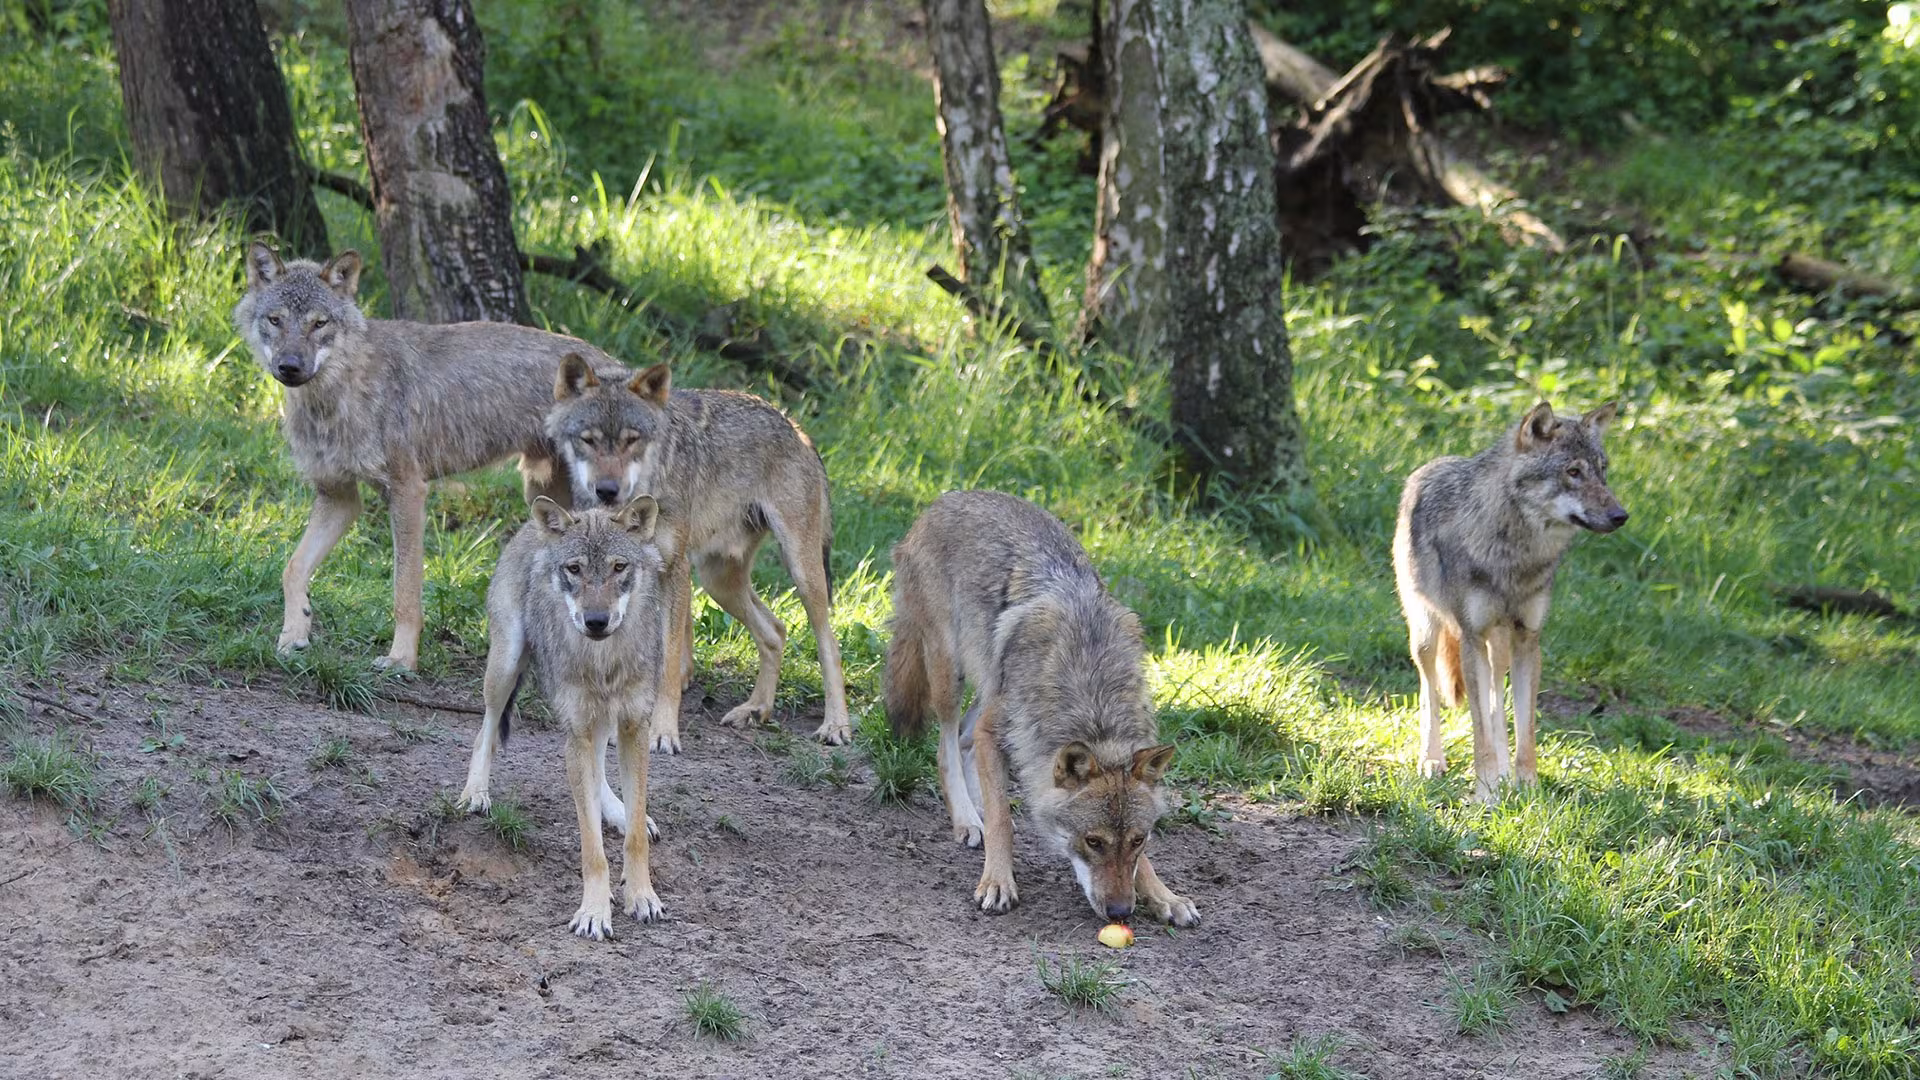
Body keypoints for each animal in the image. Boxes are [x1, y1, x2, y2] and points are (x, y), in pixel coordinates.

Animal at [232, 242, 625, 671]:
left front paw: (401, 660)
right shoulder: (339, 497)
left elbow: (404, 591)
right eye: (275, 320)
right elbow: (292, 569)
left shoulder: (407, 491)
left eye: (319, 324)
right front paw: (293, 636)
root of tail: (621, 367)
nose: (289, 366)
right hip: (547, 499)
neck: (339, 393)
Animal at [461, 494, 668, 939]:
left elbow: (634, 839)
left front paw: (641, 895)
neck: (604, 661)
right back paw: (475, 794)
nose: (596, 621)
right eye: (574, 569)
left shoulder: (634, 727)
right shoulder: (577, 731)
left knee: (601, 775)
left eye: (618, 567)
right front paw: (594, 912)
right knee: (486, 729)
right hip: (505, 666)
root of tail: (531, 526)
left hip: (601, 721)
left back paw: (619, 814)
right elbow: (592, 848)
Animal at [544, 354, 849, 752]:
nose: (606, 490)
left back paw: (836, 725)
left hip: (801, 572)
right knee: (776, 630)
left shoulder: (673, 570)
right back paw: (756, 709)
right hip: (717, 581)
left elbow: (669, 663)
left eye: (632, 440)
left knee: (829, 642)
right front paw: (611, 729)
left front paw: (663, 732)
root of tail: (797, 428)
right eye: (588, 440)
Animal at [884, 490, 1197, 926]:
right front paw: (997, 883)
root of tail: (945, 499)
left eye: (1138, 840)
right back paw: (967, 818)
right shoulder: (994, 729)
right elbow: (1004, 821)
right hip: (950, 673)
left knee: (964, 741)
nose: (1120, 912)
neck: (1092, 699)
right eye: (1093, 842)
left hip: (989, 682)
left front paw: (1165, 896)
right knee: (946, 746)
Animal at [1393, 401, 1627, 802]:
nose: (1620, 516)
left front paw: (1527, 786)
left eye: (1603, 470)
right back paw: (1432, 760)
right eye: (1573, 472)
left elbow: (1523, 727)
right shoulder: (1471, 638)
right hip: (1426, 634)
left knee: (1495, 702)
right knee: (1429, 693)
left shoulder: (1528, 640)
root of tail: (1431, 464)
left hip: (1499, 645)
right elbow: (1479, 732)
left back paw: (1503, 772)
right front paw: (1486, 793)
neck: (1514, 555)